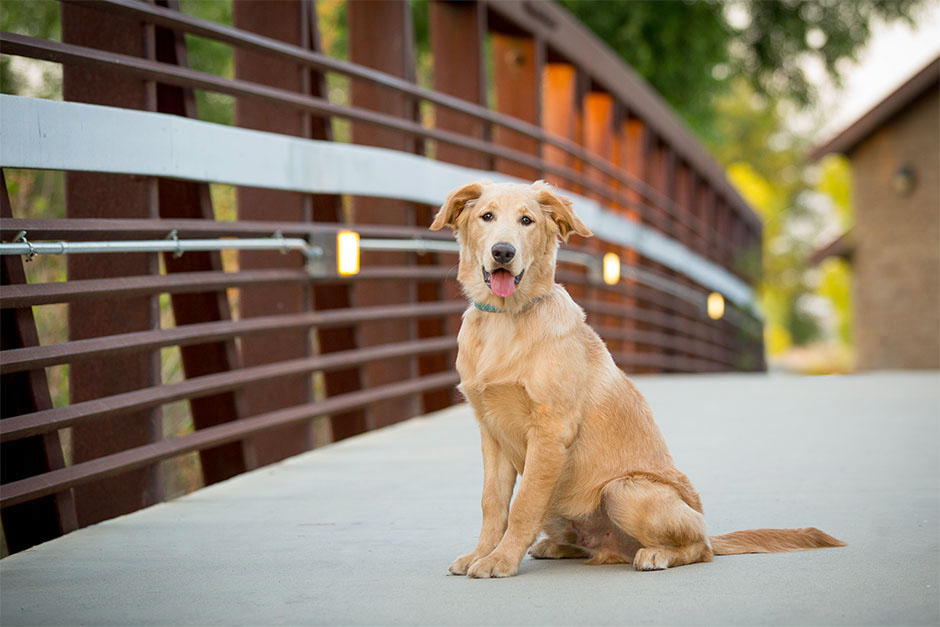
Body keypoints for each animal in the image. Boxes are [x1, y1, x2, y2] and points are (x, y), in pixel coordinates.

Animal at [430, 178, 840, 580]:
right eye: (486, 216)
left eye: (527, 220)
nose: (503, 252)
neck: (505, 320)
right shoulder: (491, 430)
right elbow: (493, 502)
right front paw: (481, 554)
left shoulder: (551, 429)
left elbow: (523, 503)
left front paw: (500, 560)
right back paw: (556, 546)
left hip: (623, 490)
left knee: (699, 549)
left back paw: (655, 554)